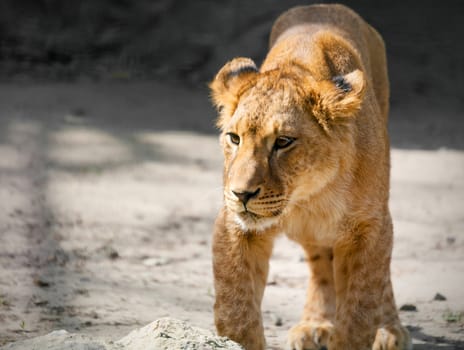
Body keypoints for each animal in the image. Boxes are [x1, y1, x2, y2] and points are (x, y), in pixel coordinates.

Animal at [209, 3, 410, 350]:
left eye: (283, 142)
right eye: (234, 138)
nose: (241, 194)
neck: (311, 195)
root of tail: (323, 6)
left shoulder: (370, 228)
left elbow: (359, 310)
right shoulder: (235, 226)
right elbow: (236, 311)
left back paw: (389, 330)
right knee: (321, 266)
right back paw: (316, 324)